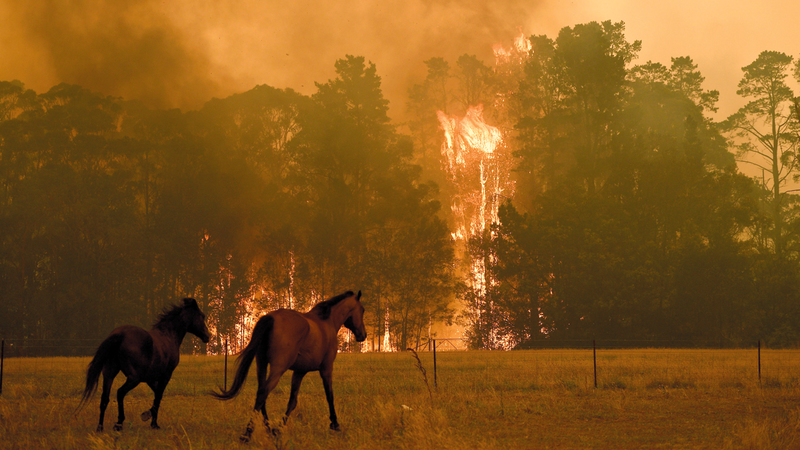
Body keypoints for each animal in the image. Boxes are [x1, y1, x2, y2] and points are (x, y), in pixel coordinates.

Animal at [77, 298, 209, 430]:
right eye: (201, 316)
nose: (208, 336)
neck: (168, 336)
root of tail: (120, 335)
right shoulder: (166, 375)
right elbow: (159, 396)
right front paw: (150, 420)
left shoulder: (150, 378)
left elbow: (157, 395)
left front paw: (152, 421)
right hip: (134, 378)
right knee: (120, 393)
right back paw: (119, 423)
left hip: (109, 373)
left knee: (105, 398)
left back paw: (100, 427)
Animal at [209, 290, 366, 442]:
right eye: (362, 310)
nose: (363, 335)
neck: (326, 322)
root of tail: (271, 318)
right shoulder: (326, 369)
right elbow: (330, 396)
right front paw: (335, 424)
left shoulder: (299, 372)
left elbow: (292, 402)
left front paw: (279, 429)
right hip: (278, 369)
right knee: (263, 393)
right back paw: (247, 434)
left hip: (262, 365)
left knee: (261, 393)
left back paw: (268, 428)